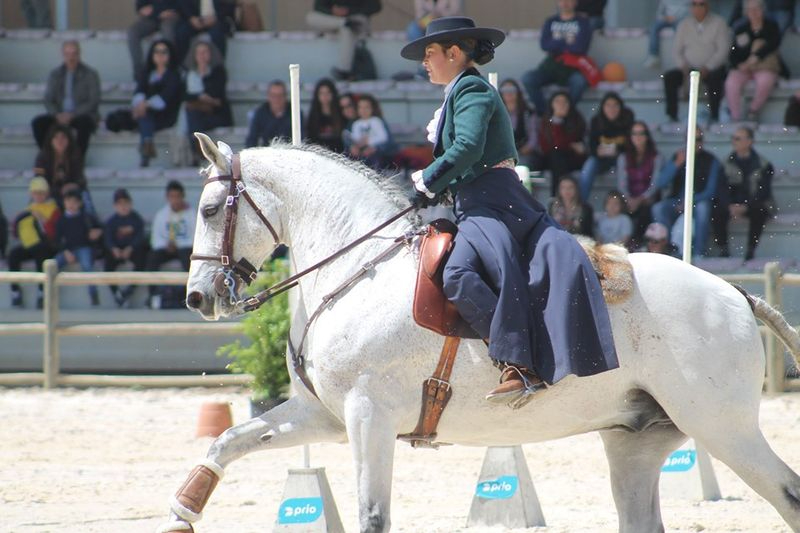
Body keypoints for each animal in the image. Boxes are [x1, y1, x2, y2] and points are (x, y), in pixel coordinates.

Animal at [158, 132, 800, 533]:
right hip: (635, 441)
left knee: (787, 495)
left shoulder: (368, 418)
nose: (198, 298)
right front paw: (182, 512)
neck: (357, 267)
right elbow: (227, 441)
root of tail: (733, 294)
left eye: (210, 210)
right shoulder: (324, 417)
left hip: (722, 428)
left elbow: (372, 516)